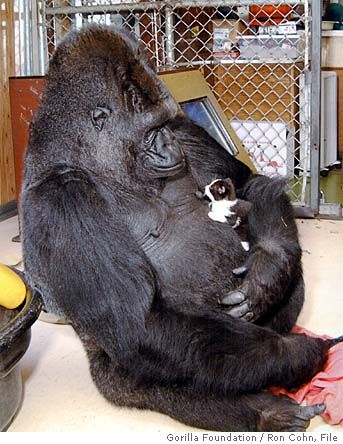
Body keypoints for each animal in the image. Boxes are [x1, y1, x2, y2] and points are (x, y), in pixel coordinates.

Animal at [20, 26, 342, 432]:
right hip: (111, 377)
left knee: (284, 273)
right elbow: (143, 324)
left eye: (164, 124)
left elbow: (248, 183)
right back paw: (266, 408)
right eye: (150, 130)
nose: (169, 144)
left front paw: (267, 272)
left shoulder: (186, 129)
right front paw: (300, 355)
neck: (92, 159)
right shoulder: (62, 199)